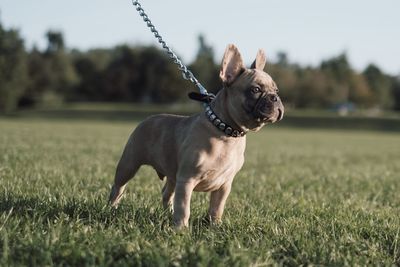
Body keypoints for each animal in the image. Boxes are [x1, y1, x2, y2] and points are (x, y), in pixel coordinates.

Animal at [108, 44, 284, 228]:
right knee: (118, 188)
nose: (275, 98)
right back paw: (111, 209)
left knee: (166, 193)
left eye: (276, 90)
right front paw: (181, 229)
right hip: (129, 165)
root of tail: (148, 119)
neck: (226, 132)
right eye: (255, 90)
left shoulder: (224, 185)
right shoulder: (187, 180)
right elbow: (184, 207)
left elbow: (217, 207)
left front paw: (215, 226)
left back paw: (167, 212)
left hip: (172, 175)